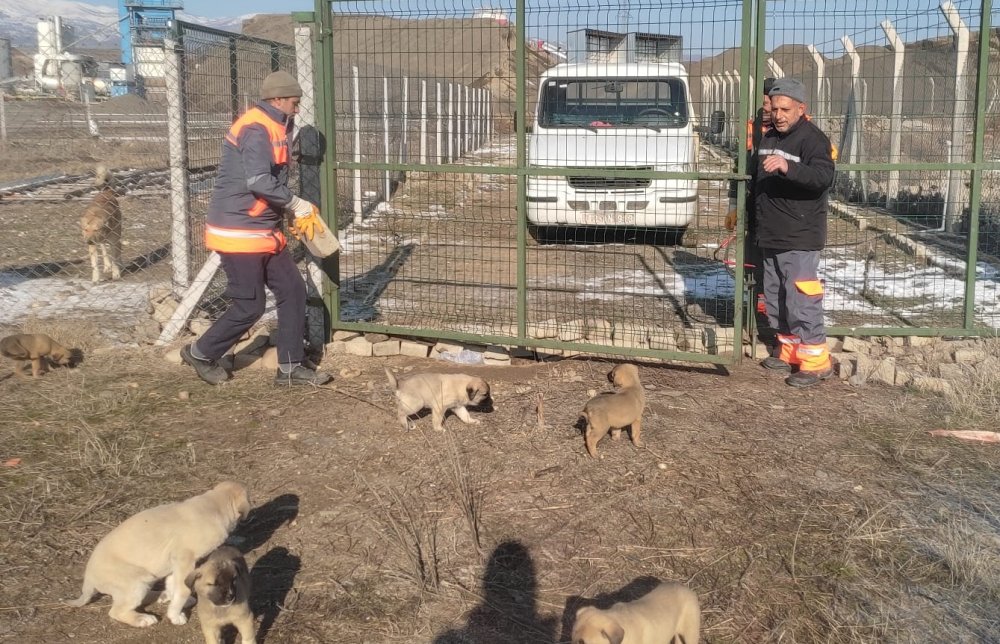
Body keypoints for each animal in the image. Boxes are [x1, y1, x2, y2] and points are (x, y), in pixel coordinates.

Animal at [66, 480, 250, 628]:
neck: (214, 506)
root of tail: (88, 577)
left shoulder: (174, 564)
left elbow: (174, 583)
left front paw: (176, 604)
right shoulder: (184, 558)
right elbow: (182, 589)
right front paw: (175, 615)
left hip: (143, 582)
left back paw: (164, 595)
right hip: (135, 583)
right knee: (116, 611)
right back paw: (143, 619)